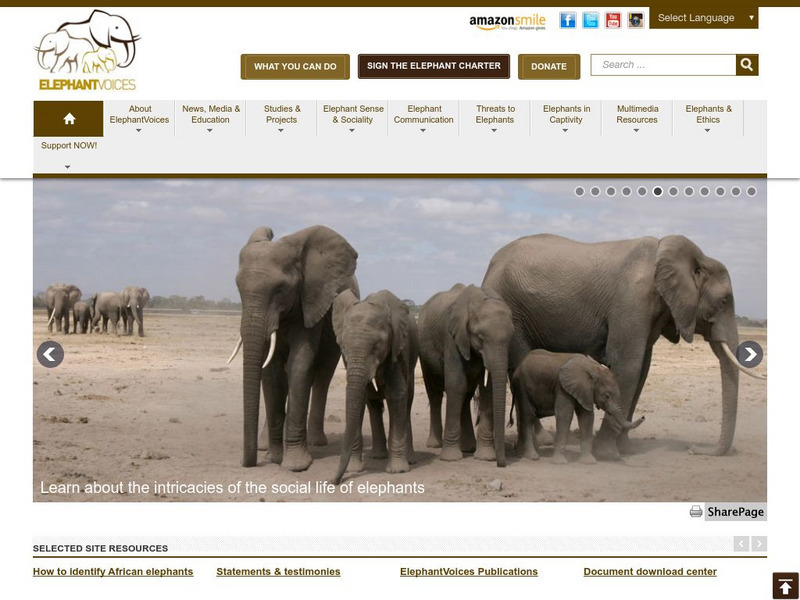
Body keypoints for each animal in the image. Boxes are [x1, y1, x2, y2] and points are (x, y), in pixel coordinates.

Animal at [228, 225, 358, 470]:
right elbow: (272, 371)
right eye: (238, 289)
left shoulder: (310, 303)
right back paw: (264, 446)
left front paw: (295, 465)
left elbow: (300, 363)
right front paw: (274, 458)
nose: (245, 462)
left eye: (281, 289)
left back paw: (317, 442)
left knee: (323, 375)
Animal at [331, 289, 418, 484]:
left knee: (407, 402)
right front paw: (354, 469)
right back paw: (378, 456)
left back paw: (409, 460)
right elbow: (359, 396)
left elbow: (397, 394)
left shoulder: (397, 348)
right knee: (374, 404)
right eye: (343, 346)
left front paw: (398, 471)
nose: (332, 482)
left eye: (377, 346)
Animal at [418, 284, 512, 467]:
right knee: (435, 395)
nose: (501, 464)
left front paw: (485, 457)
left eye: (510, 339)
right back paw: (435, 445)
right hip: (424, 353)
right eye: (481, 337)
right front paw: (450, 459)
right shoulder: (451, 337)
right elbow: (456, 385)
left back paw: (468, 447)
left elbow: (487, 390)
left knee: (466, 397)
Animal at [511, 350, 645, 464]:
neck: (592, 368)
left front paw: (589, 461)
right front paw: (560, 462)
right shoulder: (562, 387)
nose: (643, 417)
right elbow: (565, 415)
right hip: (521, 386)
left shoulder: (584, 391)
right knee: (528, 416)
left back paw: (521, 454)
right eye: (606, 396)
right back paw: (532, 456)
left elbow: (587, 417)